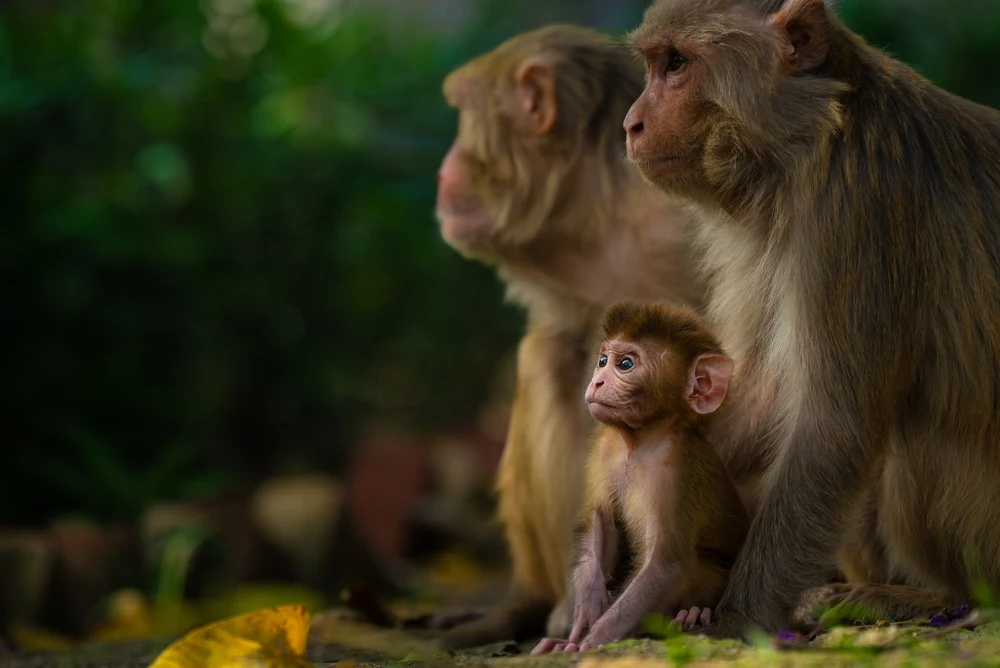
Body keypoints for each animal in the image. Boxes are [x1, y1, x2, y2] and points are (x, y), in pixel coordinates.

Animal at [531, 300, 749, 654]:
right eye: (602, 361)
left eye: (626, 364)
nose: (597, 381)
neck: (640, 441)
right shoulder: (605, 446)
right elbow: (599, 520)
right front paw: (584, 612)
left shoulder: (676, 468)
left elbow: (664, 564)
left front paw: (593, 640)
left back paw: (691, 614)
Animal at [621, 0, 1000, 638]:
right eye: (653, 64)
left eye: (676, 63)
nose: (631, 124)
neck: (820, 134)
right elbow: (758, 394)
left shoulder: (856, 209)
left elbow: (832, 425)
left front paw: (736, 619)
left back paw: (932, 599)